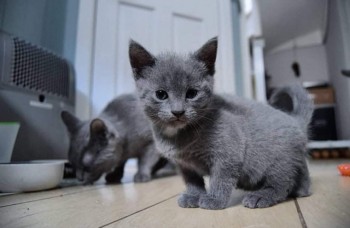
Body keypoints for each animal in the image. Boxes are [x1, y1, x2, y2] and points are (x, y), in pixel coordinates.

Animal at [127, 37, 314, 210]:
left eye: (192, 93)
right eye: (161, 94)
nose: (178, 111)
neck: (178, 136)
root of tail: (294, 120)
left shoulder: (228, 153)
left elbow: (220, 177)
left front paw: (214, 200)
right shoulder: (184, 165)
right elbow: (192, 181)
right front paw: (193, 196)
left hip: (277, 159)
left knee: (281, 182)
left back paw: (262, 196)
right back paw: (302, 190)